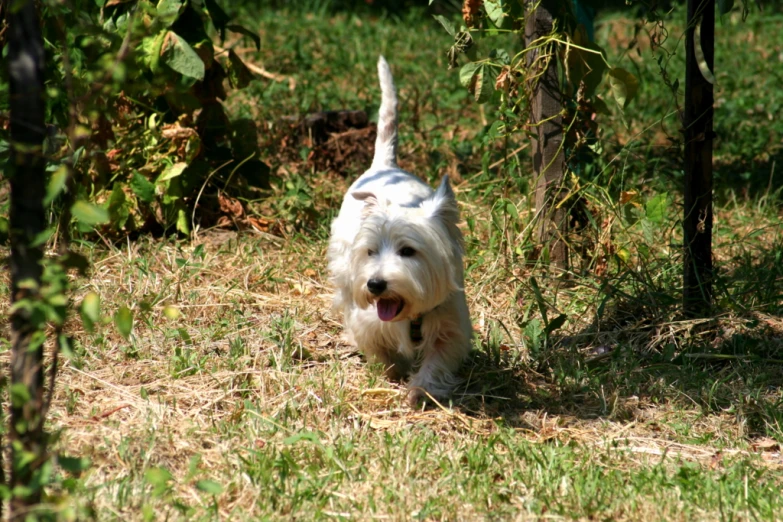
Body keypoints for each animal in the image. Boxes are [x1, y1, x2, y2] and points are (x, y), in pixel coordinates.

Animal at [326, 58, 472, 406]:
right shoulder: (369, 319)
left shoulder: (450, 325)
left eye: (408, 251)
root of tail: (385, 165)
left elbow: (437, 359)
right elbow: (381, 350)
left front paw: (421, 390)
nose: (375, 284)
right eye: (370, 251)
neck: (410, 315)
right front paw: (393, 374)